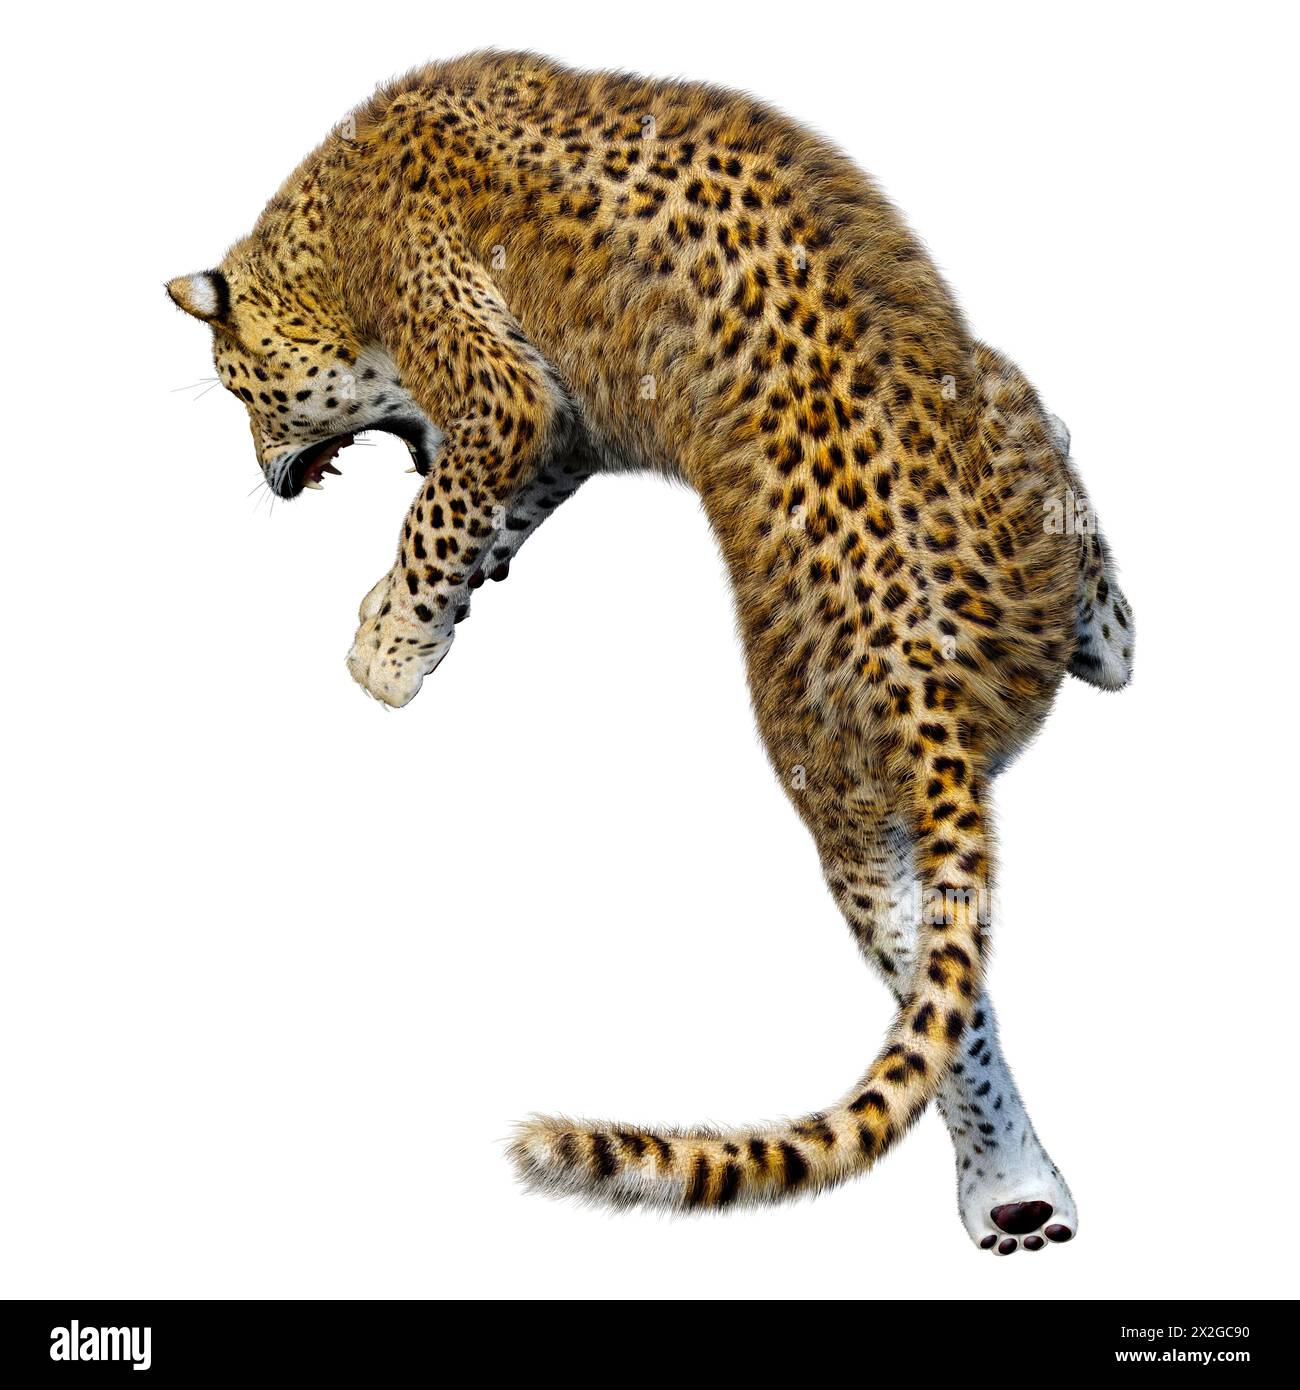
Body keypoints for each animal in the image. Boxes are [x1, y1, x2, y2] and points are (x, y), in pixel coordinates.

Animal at [167, 51, 1134, 1253]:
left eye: (241, 392)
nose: (268, 472)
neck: (331, 230)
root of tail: (921, 675)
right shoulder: (563, 420)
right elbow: (491, 514)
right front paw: (414, 611)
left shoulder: (500, 392)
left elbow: (442, 515)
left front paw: (389, 648)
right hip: (997, 430)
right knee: (1052, 456)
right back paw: (1108, 634)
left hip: (839, 791)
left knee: (936, 997)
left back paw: (1008, 1188)